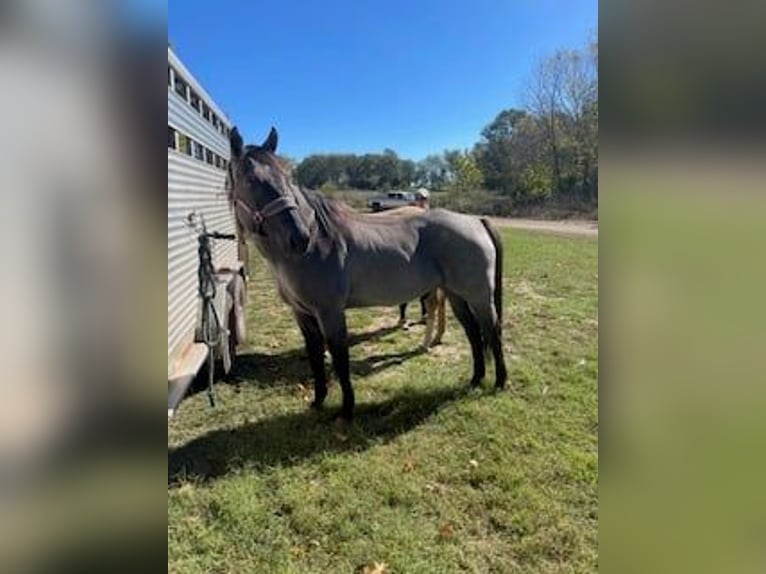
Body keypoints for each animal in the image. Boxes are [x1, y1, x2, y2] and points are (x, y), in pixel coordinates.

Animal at [228, 127, 507, 420]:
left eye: (287, 178)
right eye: (250, 179)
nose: (300, 237)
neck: (318, 242)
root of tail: (476, 221)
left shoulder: (330, 313)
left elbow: (340, 358)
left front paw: (347, 411)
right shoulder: (302, 314)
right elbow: (314, 356)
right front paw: (318, 401)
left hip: (479, 296)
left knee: (492, 331)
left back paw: (499, 382)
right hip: (456, 295)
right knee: (473, 333)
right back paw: (475, 379)